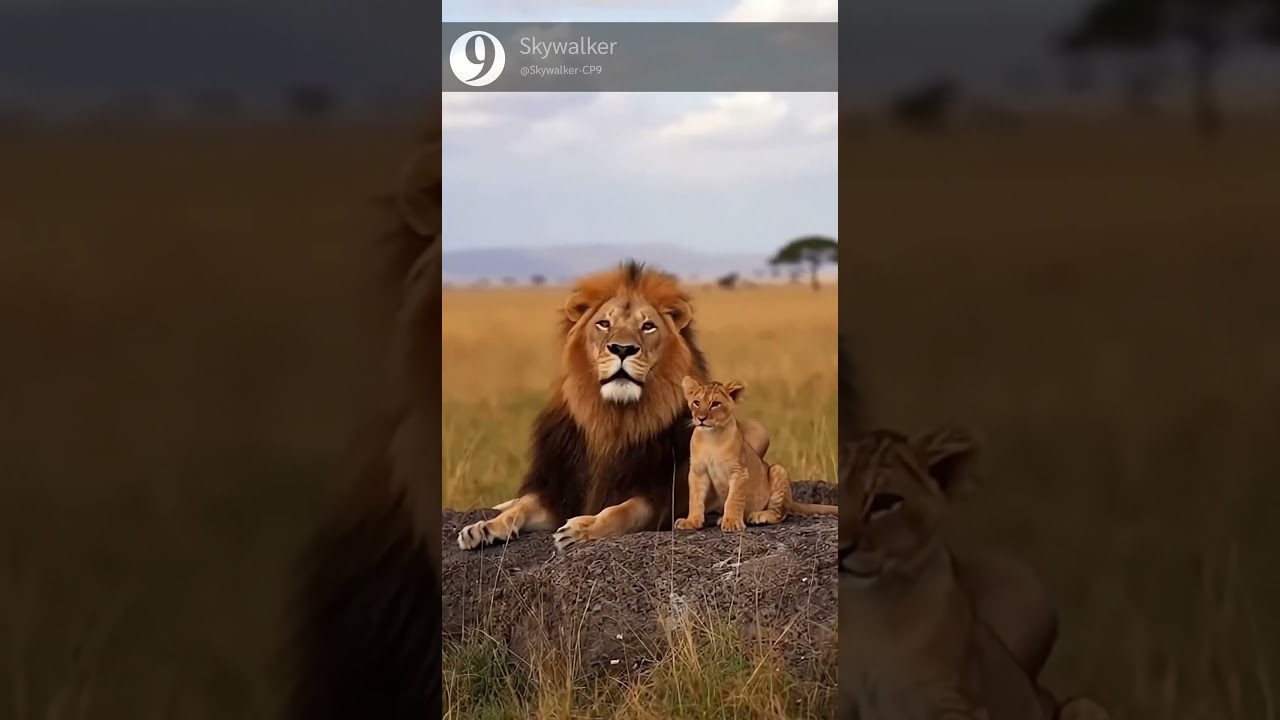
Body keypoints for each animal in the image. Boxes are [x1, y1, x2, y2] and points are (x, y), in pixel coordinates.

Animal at [456, 262, 771, 553]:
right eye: (604, 324)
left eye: (648, 326)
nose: (622, 349)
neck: (612, 420)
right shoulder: (559, 491)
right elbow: (522, 507)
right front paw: (482, 528)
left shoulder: (658, 499)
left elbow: (620, 511)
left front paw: (581, 529)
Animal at [676, 376, 837, 532]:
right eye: (696, 403)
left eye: (715, 404)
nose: (701, 418)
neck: (710, 437)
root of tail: (791, 500)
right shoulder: (698, 471)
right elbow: (695, 499)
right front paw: (691, 521)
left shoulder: (739, 471)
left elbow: (733, 499)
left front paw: (732, 522)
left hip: (778, 470)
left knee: (780, 513)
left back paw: (758, 516)